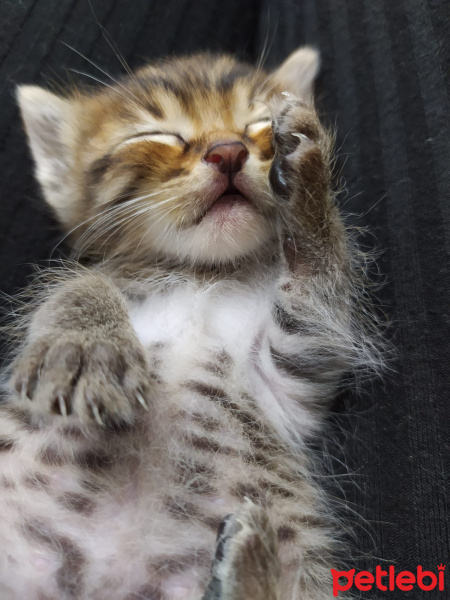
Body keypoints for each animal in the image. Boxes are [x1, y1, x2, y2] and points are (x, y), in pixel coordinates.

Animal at [0, 48, 378, 600]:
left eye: (257, 123)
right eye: (158, 135)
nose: (227, 151)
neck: (202, 276)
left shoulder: (295, 362)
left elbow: (318, 275)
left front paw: (308, 178)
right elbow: (81, 282)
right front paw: (88, 348)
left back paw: (250, 562)